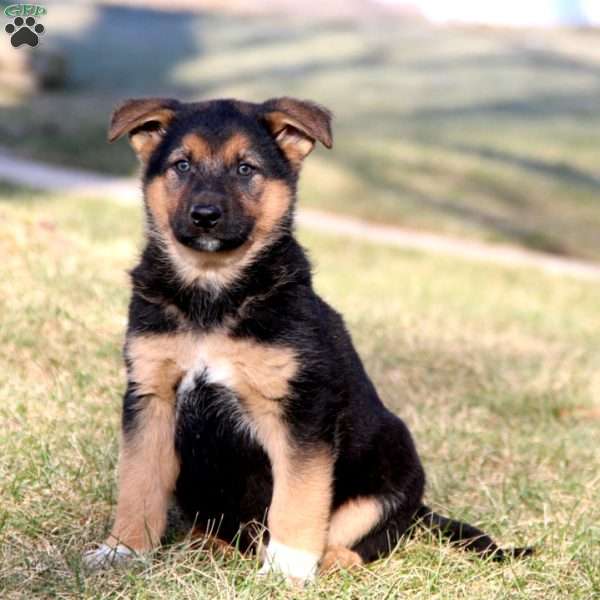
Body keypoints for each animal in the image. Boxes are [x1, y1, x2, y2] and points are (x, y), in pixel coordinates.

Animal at [83, 97, 528, 580]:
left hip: (394, 461)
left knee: (372, 534)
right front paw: (123, 550)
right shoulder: (150, 396)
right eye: (181, 165)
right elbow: (139, 485)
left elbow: (297, 499)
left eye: (246, 169)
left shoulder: (301, 412)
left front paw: (286, 570)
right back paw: (209, 546)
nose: (205, 216)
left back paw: (329, 560)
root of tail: (419, 510)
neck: (214, 293)